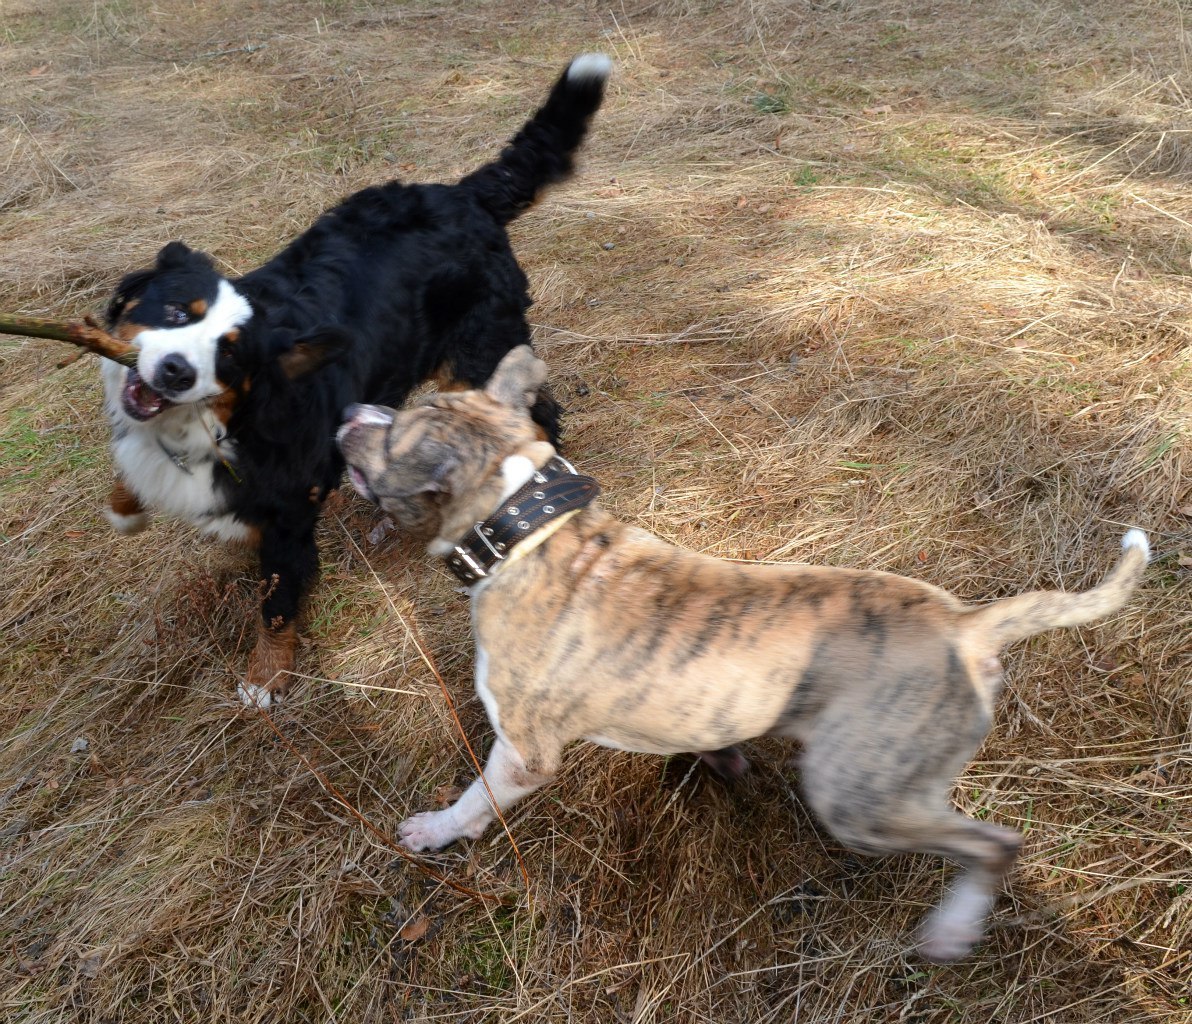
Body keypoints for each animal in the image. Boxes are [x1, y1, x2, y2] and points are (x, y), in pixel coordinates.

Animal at [97, 52, 610, 710]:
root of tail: (462, 193)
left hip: (479, 349)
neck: (218, 424)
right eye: (174, 312)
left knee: (536, 413)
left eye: (230, 355)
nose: (176, 371)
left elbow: (277, 604)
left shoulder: (289, 516)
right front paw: (126, 511)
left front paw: (265, 680)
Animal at [333, 350, 1144, 963]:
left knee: (995, 845)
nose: (350, 412)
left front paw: (435, 831)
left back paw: (951, 929)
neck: (530, 529)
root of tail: (966, 626)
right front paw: (724, 759)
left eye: (395, 433)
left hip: (857, 796)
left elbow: (477, 799)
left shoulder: (524, 750)